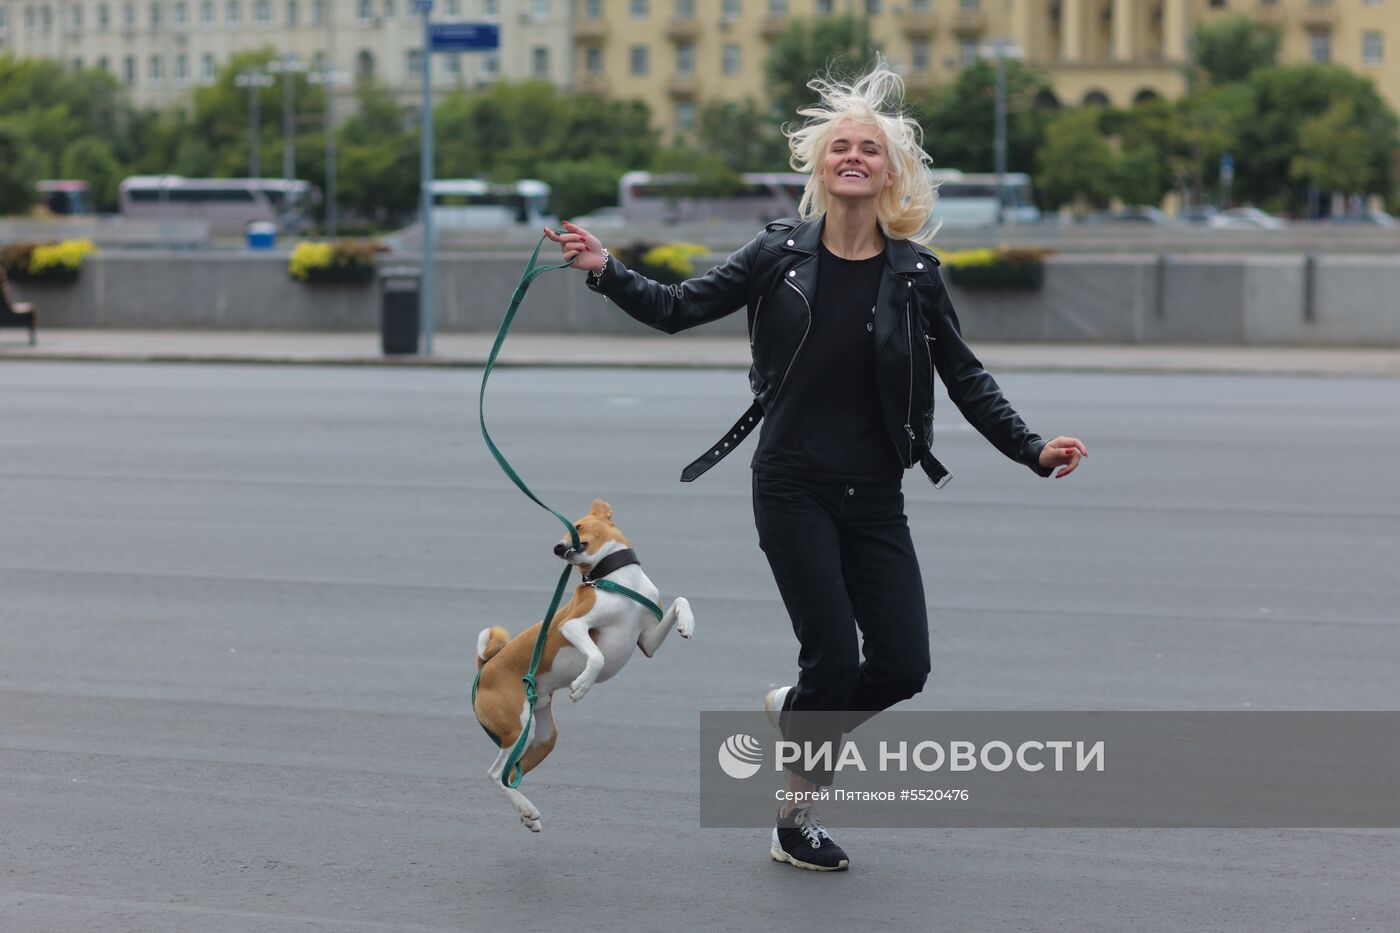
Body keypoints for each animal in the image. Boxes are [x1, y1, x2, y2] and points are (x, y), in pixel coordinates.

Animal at [473, 498, 691, 829]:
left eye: (576, 526)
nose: (557, 548)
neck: (616, 580)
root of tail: (484, 667)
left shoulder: (647, 641)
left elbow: (681, 601)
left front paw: (687, 624)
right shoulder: (573, 626)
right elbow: (597, 656)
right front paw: (582, 685)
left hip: (543, 737)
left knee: (511, 773)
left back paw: (526, 815)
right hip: (520, 726)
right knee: (496, 774)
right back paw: (527, 809)